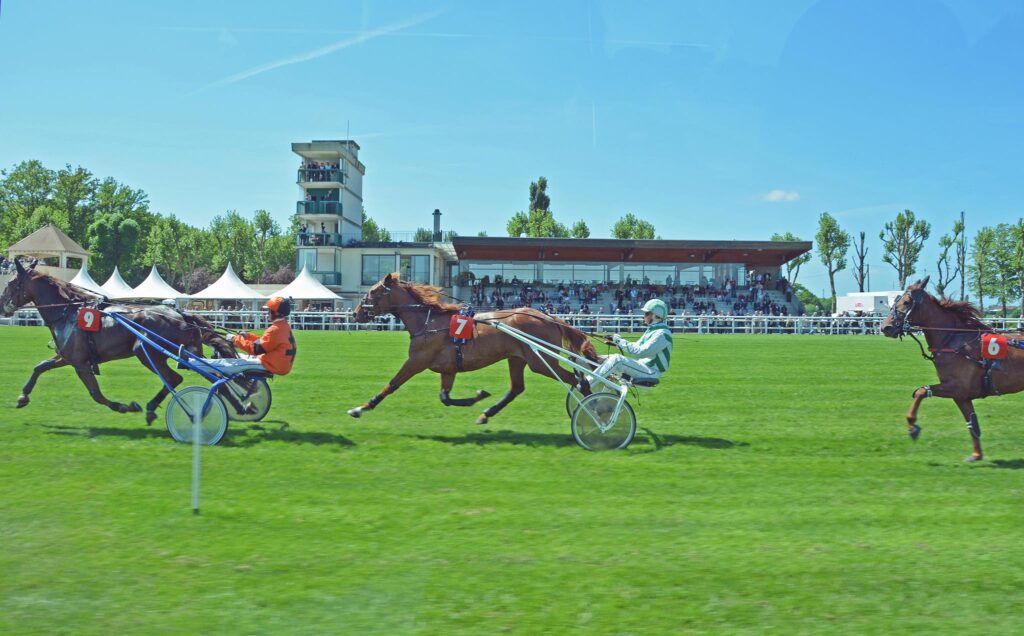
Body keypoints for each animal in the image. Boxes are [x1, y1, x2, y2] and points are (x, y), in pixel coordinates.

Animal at [0, 258, 234, 421]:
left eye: (10, 283)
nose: (2, 306)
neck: (68, 312)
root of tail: (180, 314)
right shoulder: (67, 357)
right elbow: (40, 367)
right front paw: (23, 396)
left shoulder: (80, 363)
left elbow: (96, 393)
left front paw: (125, 406)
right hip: (183, 354)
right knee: (213, 376)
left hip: (146, 352)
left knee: (176, 378)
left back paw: (154, 408)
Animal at [348, 272, 598, 423]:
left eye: (372, 292)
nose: (355, 313)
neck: (429, 322)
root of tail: (549, 317)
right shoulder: (448, 369)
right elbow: (445, 397)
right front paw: (478, 396)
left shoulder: (417, 361)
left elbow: (391, 385)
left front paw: (360, 408)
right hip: (517, 358)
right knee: (517, 388)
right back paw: (486, 414)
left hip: (541, 362)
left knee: (578, 381)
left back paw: (596, 411)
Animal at [880, 274, 1024, 458]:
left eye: (906, 302)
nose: (886, 327)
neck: (955, 341)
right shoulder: (961, 396)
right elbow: (972, 423)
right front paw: (976, 455)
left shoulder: (957, 387)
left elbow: (921, 391)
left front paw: (912, 426)